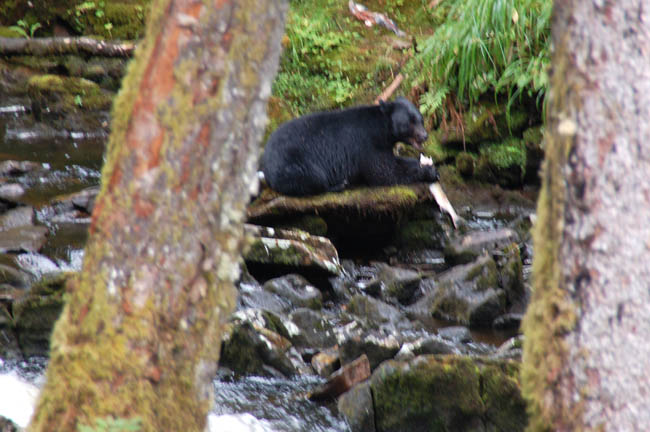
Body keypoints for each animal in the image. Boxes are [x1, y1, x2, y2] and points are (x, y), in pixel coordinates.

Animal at [260, 96, 439, 197]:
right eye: (410, 122)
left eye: (420, 119)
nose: (424, 135)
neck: (382, 128)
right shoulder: (367, 144)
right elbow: (384, 172)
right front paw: (429, 172)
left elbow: (394, 161)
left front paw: (426, 164)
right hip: (291, 164)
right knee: (313, 177)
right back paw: (339, 184)